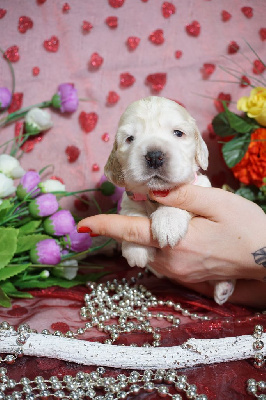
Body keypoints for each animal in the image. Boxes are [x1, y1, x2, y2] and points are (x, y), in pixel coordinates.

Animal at [104, 97, 235, 306]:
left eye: (178, 133)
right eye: (130, 138)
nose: (154, 156)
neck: (154, 195)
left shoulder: (201, 189)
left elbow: (176, 205)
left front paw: (168, 221)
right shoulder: (130, 200)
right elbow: (132, 216)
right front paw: (136, 249)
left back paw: (224, 286)